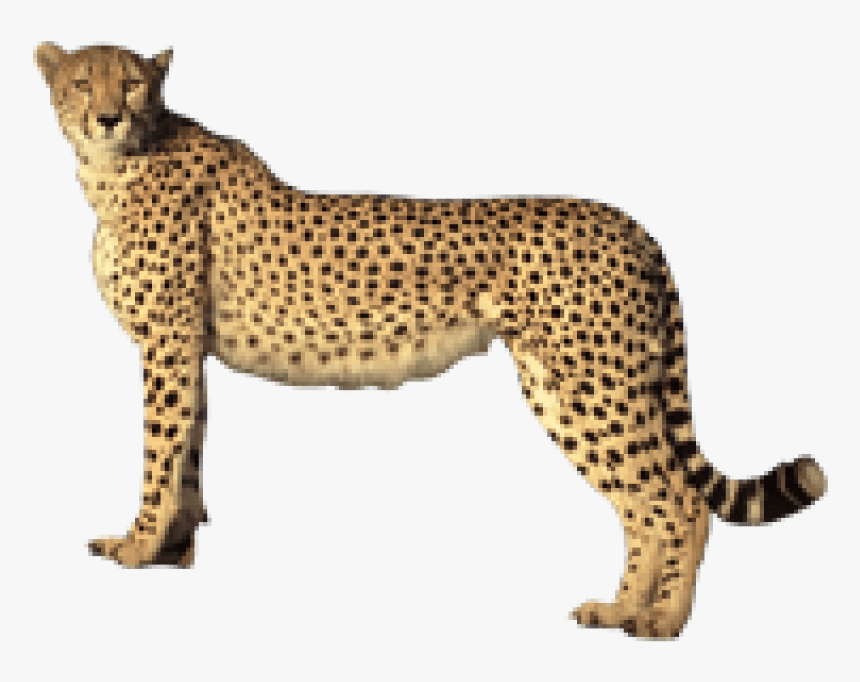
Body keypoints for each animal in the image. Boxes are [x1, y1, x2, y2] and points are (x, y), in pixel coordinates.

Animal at [36, 42, 827, 638]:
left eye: (131, 82)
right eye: (81, 81)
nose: (107, 116)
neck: (119, 165)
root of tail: (629, 223)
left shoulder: (165, 344)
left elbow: (157, 450)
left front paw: (137, 545)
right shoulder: (186, 349)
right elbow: (189, 449)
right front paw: (173, 548)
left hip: (596, 387)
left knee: (678, 502)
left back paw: (662, 624)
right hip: (565, 389)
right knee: (643, 507)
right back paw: (621, 609)